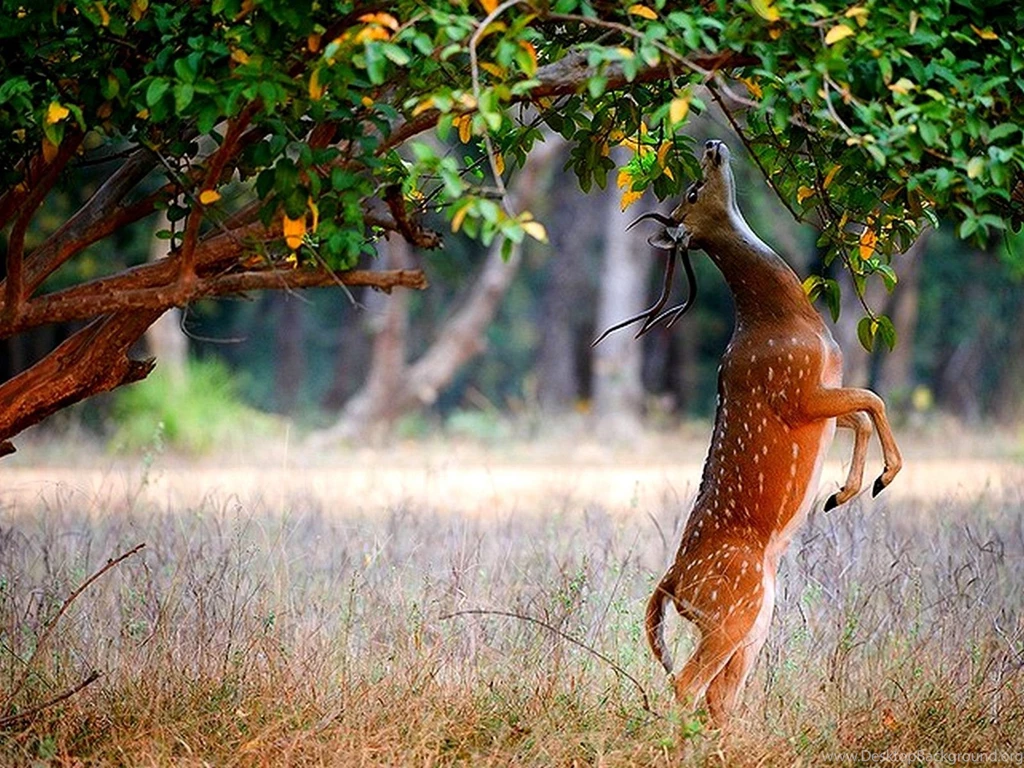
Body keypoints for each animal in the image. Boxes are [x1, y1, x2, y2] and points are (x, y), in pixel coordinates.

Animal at [599, 139, 903, 729]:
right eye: (693, 190)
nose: (713, 145)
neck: (788, 322)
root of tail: (672, 583)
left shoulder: (823, 393)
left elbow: (860, 411)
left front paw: (843, 491)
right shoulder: (796, 390)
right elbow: (873, 398)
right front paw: (880, 480)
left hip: (754, 619)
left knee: (719, 695)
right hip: (730, 611)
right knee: (687, 684)